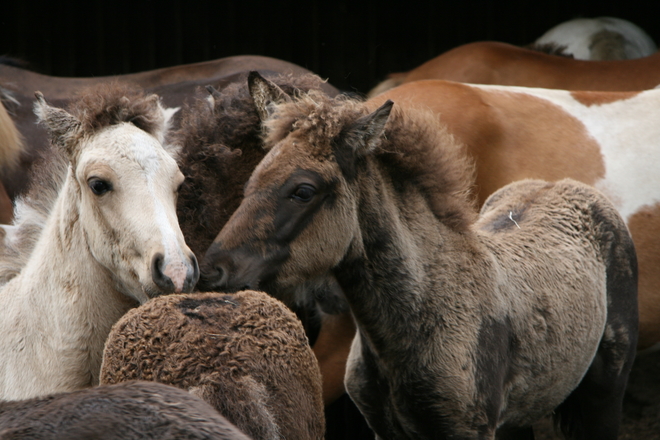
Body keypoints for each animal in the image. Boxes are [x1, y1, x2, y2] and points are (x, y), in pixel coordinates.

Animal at [202, 79, 640, 440]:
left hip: (605, 394)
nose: (214, 270)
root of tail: (566, 186)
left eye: (303, 190)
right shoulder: (386, 430)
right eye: (252, 179)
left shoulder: (468, 431)